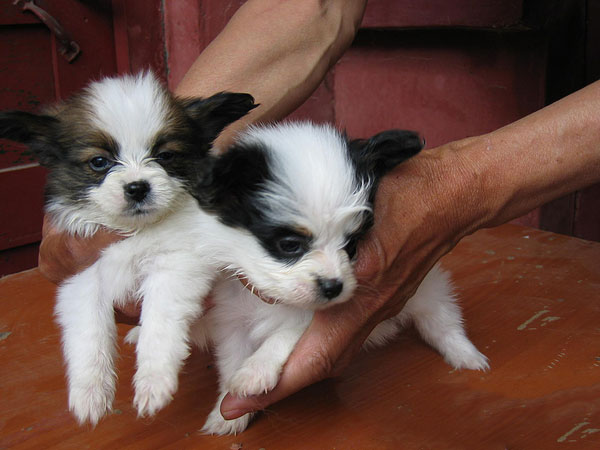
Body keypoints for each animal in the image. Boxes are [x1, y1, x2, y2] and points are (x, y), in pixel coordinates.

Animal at [0, 73, 255, 426]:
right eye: (99, 162)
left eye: (165, 156)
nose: (137, 188)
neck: (137, 231)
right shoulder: (82, 276)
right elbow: (88, 333)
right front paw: (90, 392)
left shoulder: (177, 264)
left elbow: (159, 322)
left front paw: (153, 381)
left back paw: (228, 416)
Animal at [190, 122, 490, 436]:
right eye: (289, 245)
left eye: (352, 244)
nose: (333, 287)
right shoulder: (233, 321)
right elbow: (231, 361)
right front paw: (226, 413)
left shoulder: (309, 321)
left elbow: (284, 334)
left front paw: (255, 371)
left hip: (427, 290)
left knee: (442, 322)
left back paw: (465, 354)